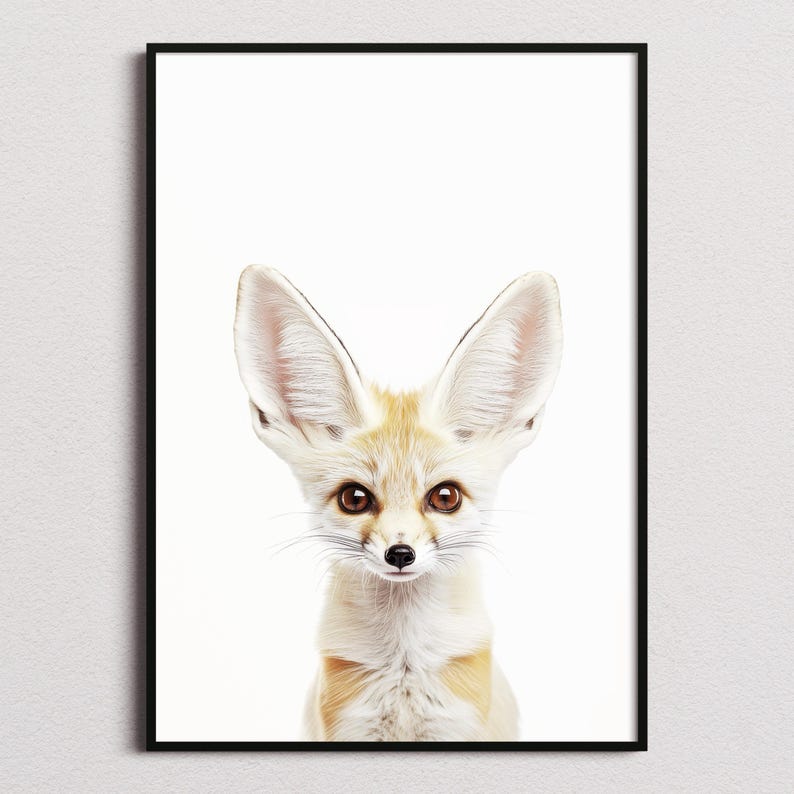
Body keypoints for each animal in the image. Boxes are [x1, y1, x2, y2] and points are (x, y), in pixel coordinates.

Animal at [233, 266, 562, 741]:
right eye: (355, 498)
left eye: (445, 496)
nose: (400, 553)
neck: (404, 667)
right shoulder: (347, 725)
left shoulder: (459, 724)